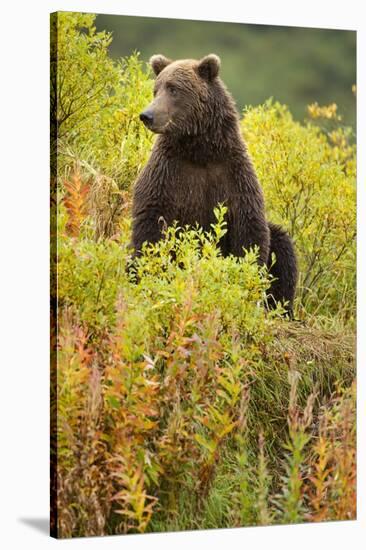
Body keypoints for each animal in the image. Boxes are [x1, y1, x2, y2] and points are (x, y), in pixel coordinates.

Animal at [131, 54, 298, 316]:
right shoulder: (167, 171)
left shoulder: (233, 174)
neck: (200, 150)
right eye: (156, 89)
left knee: (283, 247)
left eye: (174, 89)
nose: (147, 115)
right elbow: (151, 221)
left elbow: (249, 232)